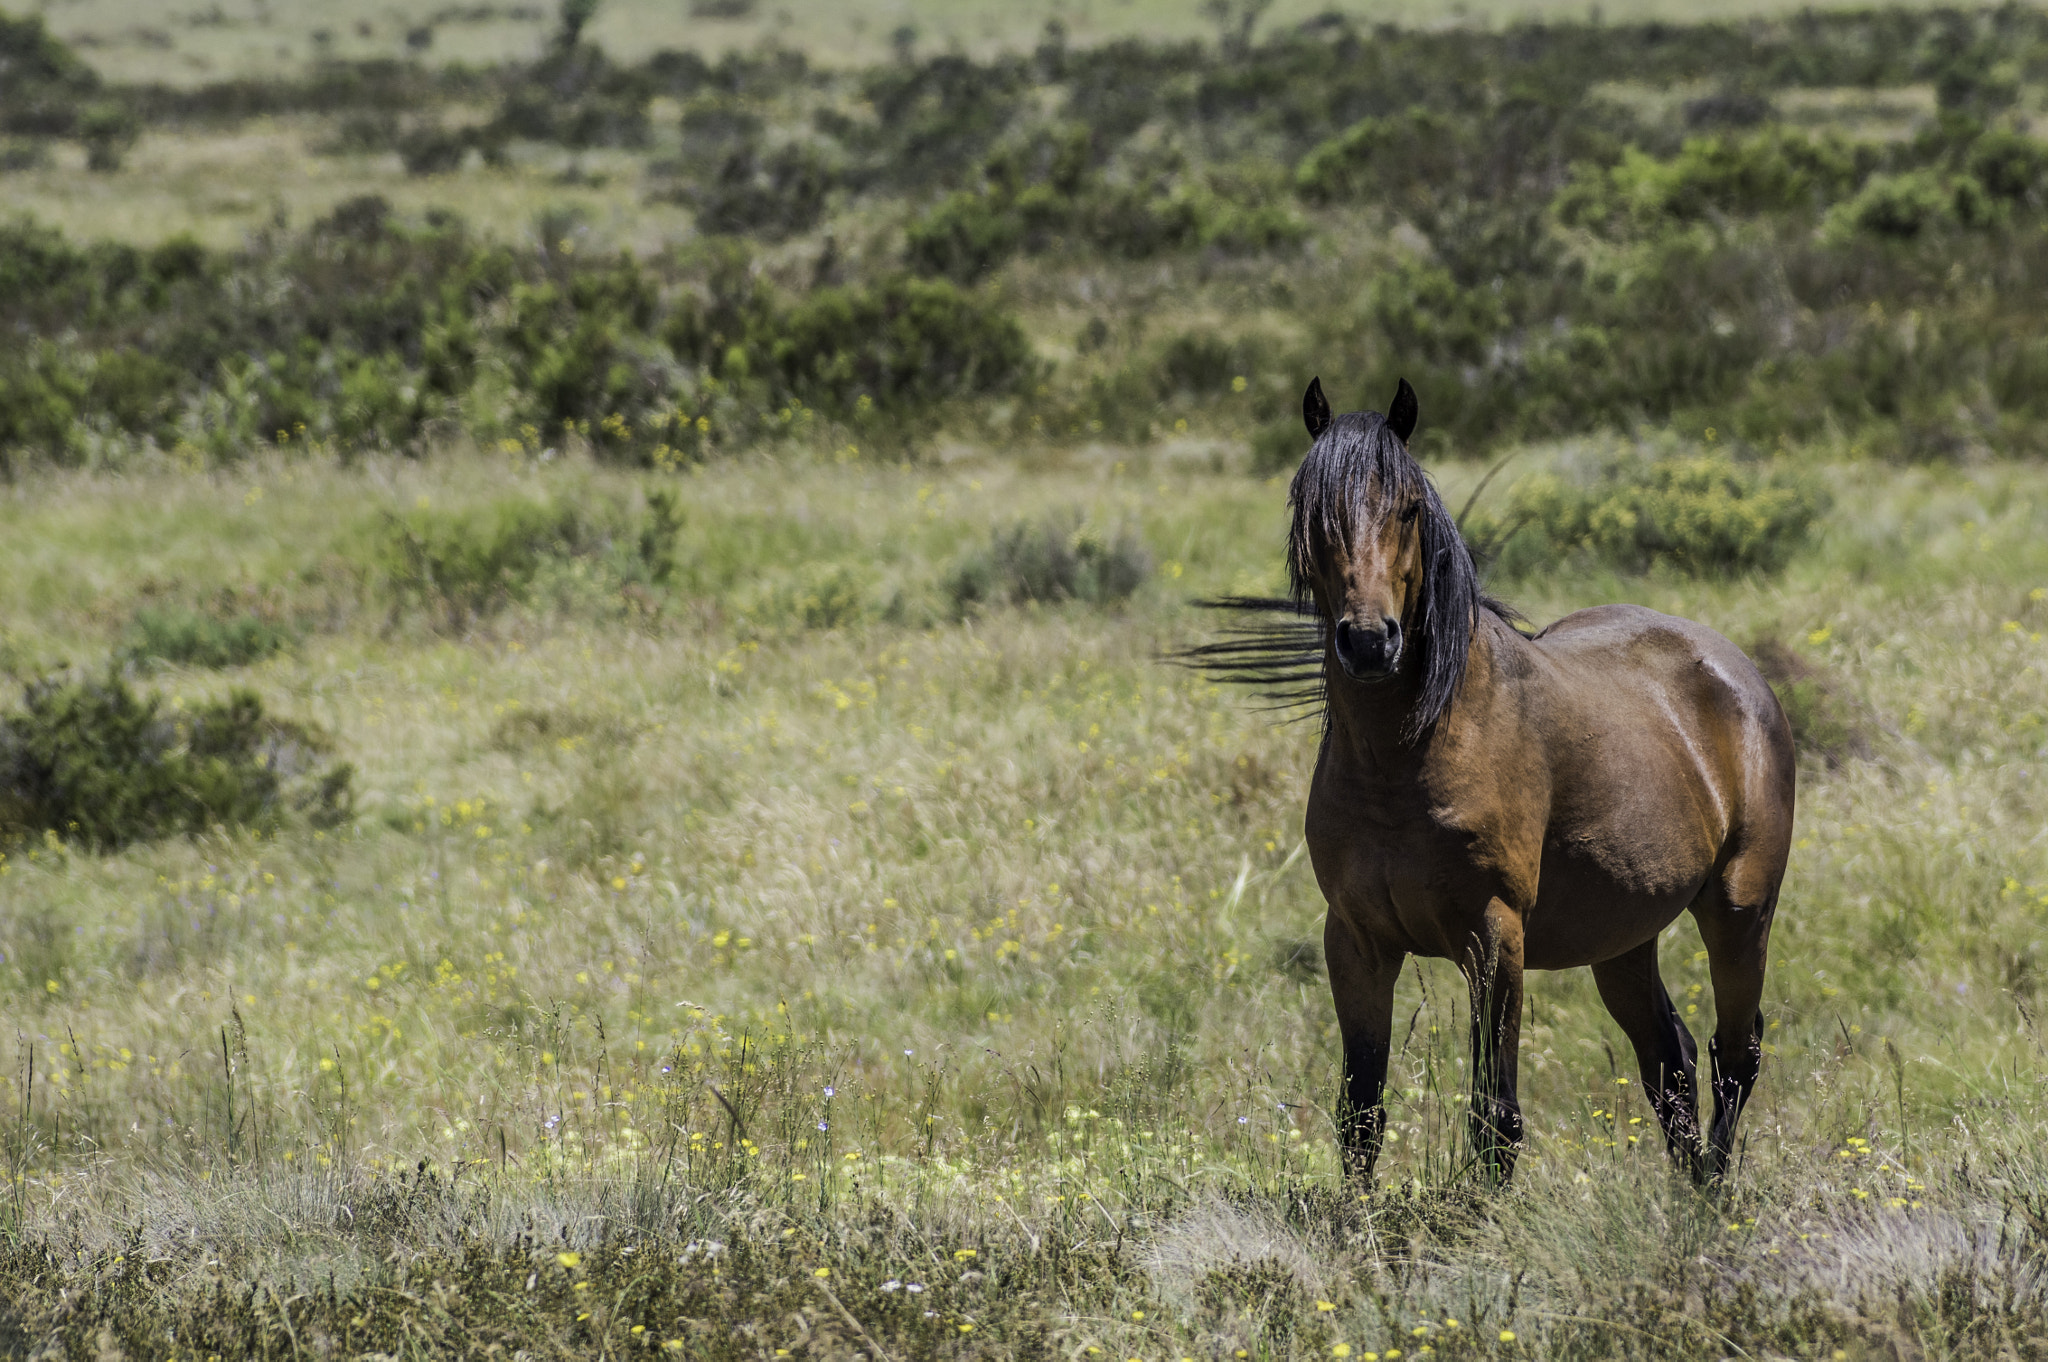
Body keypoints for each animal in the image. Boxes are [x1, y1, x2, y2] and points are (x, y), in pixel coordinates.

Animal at [1187, 374, 1794, 1179]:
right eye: (1313, 511)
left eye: (1409, 506)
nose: (1369, 642)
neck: (1404, 759)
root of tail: (1734, 669)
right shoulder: (1355, 941)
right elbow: (1360, 1116)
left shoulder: (1495, 936)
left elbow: (1493, 1119)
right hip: (1624, 940)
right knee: (1672, 1062)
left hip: (1739, 909)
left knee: (1736, 1054)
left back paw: (1714, 1194)